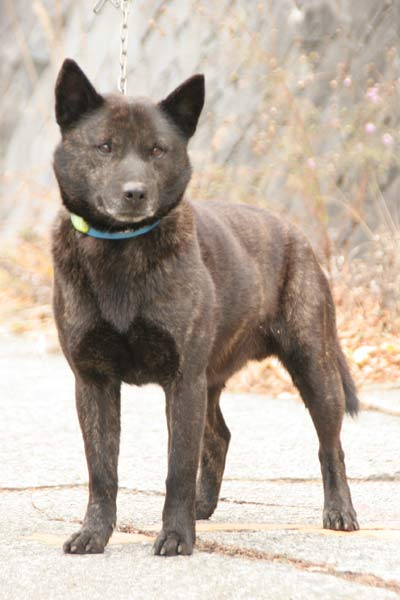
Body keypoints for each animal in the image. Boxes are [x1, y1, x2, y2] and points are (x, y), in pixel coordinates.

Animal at [50, 58, 360, 556]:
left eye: (157, 150)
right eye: (105, 146)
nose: (135, 193)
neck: (121, 248)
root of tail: (297, 235)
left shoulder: (182, 381)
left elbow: (177, 466)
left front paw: (176, 536)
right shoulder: (94, 381)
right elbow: (102, 471)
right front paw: (94, 533)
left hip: (314, 370)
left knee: (330, 446)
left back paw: (339, 511)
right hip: (211, 380)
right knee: (219, 436)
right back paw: (203, 505)